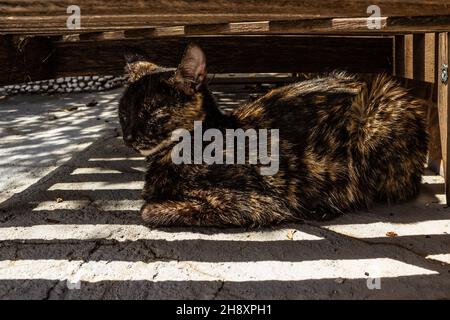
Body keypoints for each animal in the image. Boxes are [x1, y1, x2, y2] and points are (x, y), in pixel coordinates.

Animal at [119, 43, 428, 228]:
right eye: (123, 113)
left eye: (152, 111)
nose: (130, 136)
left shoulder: (253, 203)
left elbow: (147, 210)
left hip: (376, 109)